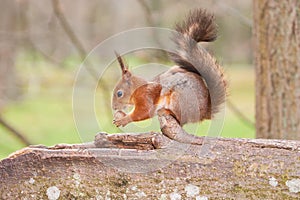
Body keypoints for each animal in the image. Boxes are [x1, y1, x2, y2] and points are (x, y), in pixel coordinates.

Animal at [111, 9, 226, 141]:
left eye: (119, 93)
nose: (114, 107)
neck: (138, 89)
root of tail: (204, 112)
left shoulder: (147, 96)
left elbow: (144, 111)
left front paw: (124, 119)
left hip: (179, 99)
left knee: (180, 120)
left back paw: (167, 111)